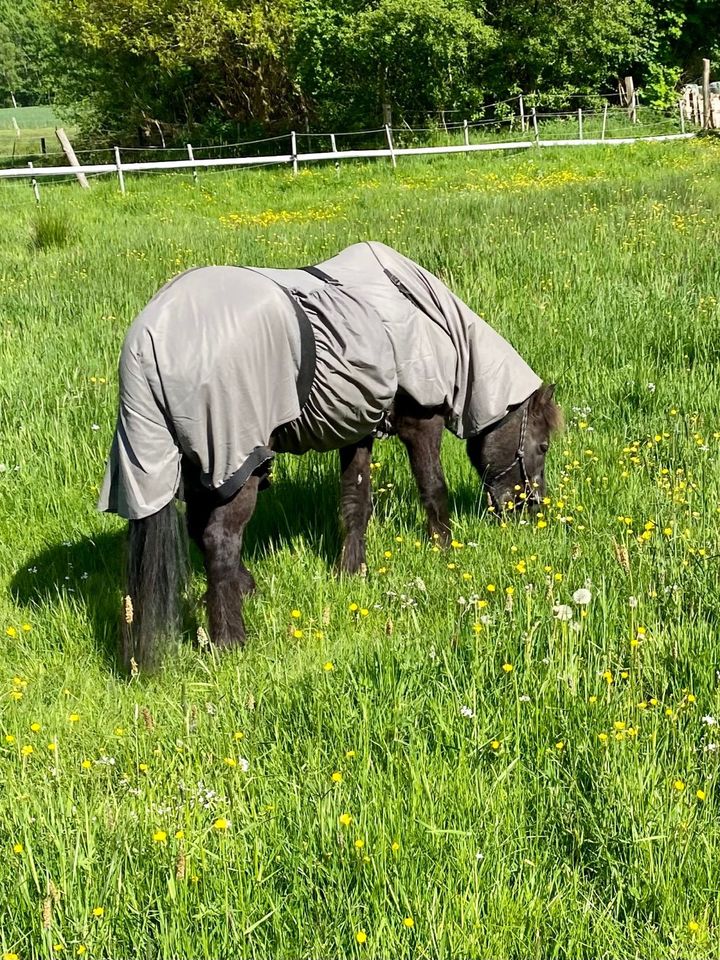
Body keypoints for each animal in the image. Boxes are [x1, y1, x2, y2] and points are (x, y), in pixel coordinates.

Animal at [101, 244, 564, 672]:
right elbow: (433, 488)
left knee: (199, 529)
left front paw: (351, 571)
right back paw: (230, 637)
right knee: (219, 539)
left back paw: (244, 589)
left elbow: (356, 503)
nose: (532, 512)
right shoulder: (420, 422)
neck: (424, 314)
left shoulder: (356, 428)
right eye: (542, 446)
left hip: (202, 468)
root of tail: (147, 343)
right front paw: (444, 549)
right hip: (235, 459)